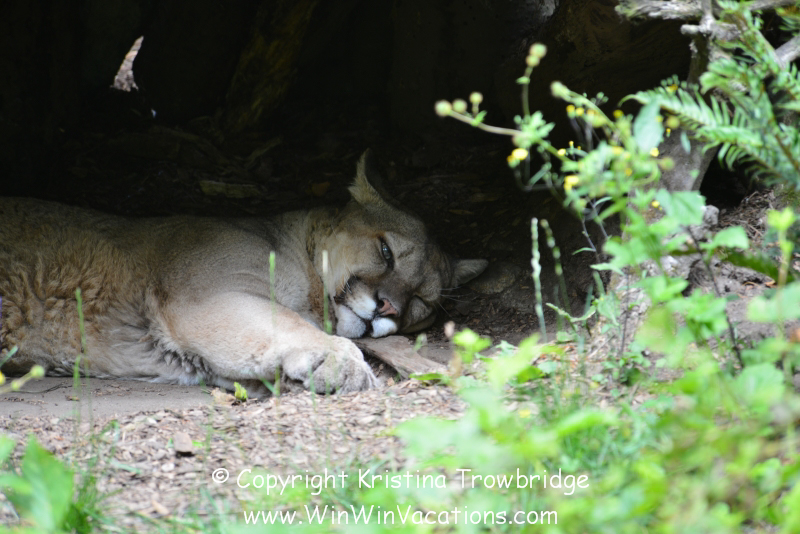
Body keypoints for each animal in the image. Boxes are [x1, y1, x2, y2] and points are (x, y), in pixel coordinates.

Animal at [0, 152, 487, 395]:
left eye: (422, 302)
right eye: (386, 253)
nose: (387, 307)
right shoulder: (207, 296)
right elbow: (286, 322)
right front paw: (338, 358)